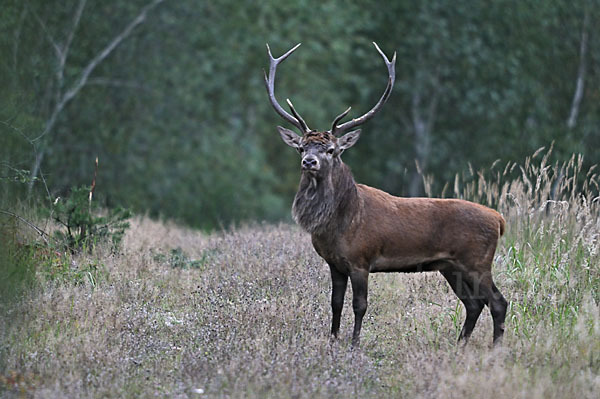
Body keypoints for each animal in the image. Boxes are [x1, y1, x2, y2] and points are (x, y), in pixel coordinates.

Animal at [264, 41, 508, 346]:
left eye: (331, 150)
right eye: (301, 147)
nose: (309, 162)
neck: (337, 224)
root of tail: (499, 219)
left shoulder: (361, 260)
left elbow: (360, 305)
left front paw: (354, 344)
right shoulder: (335, 263)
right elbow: (335, 303)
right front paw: (332, 341)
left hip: (477, 261)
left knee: (498, 302)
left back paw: (494, 348)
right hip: (451, 266)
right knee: (474, 303)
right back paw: (460, 345)